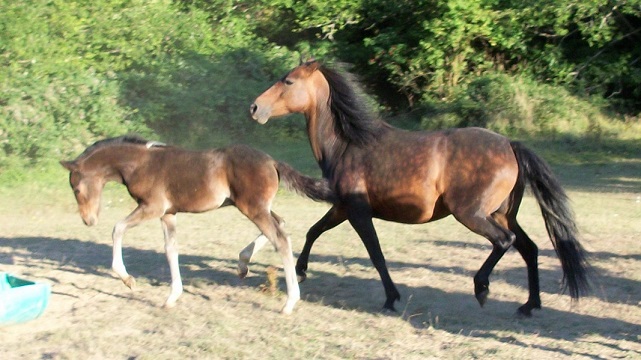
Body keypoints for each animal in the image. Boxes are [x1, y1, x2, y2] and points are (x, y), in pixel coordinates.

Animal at [58, 134, 336, 314]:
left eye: (76, 188)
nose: (88, 220)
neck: (140, 163)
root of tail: (272, 162)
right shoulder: (168, 213)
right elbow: (171, 250)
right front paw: (172, 297)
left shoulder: (152, 207)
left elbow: (118, 228)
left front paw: (128, 279)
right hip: (255, 206)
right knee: (280, 224)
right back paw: (242, 264)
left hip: (253, 207)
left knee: (280, 238)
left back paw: (289, 302)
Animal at [250, 60, 592, 316]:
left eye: (288, 81)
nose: (254, 107)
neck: (349, 145)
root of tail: (510, 144)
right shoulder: (342, 207)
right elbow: (314, 231)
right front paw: (301, 270)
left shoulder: (358, 212)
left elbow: (376, 254)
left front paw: (391, 298)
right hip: (502, 214)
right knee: (529, 248)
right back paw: (529, 305)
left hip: (472, 214)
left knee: (504, 242)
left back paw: (482, 288)